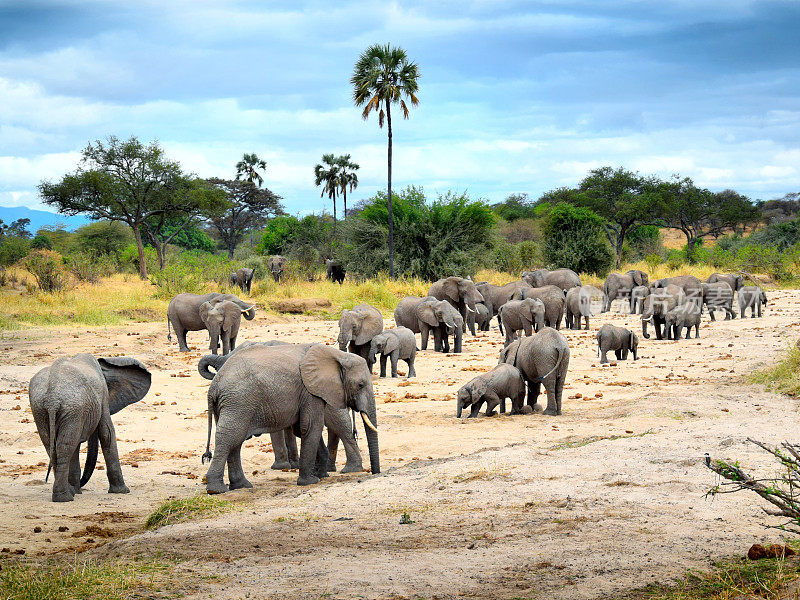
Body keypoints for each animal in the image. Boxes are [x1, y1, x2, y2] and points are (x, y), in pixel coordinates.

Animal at [29, 354, 152, 504]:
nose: (80, 486)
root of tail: (52, 398)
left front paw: (76, 491)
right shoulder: (102, 396)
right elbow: (107, 433)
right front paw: (122, 491)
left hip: (44, 409)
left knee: (54, 447)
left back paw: (67, 493)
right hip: (70, 407)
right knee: (64, 447)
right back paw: (64, 497)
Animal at [198, 342, 376, 492]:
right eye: (361, 385)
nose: (375, 473)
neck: (337, 355)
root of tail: (214, 386)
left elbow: (304, 428)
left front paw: (318, 476)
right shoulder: (309, 391)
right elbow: (310, 427)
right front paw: (310, 481)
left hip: (234, 404)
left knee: (235, 441)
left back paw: (241, 486)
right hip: (238, 402)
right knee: (230, 439)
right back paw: (217, 490)